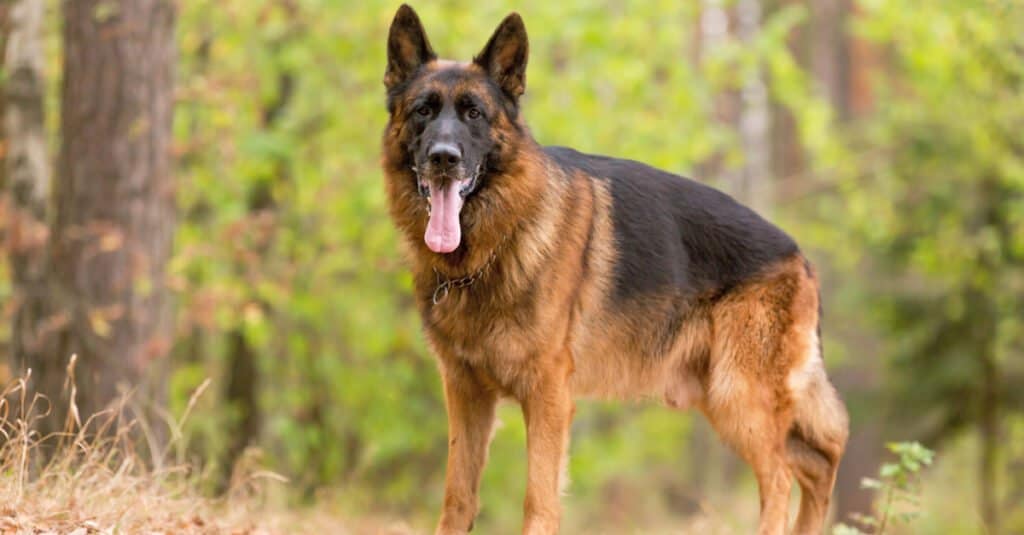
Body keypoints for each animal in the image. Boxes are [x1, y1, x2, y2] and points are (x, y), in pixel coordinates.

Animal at [385, 5, 847, 532]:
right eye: (423, 110)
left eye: (474, 113)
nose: (444, 158)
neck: (493, 248)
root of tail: (799, 255)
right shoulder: (465, 395)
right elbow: (458, 498)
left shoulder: (547, 395)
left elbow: (538, 499)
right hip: (728, 400)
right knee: (818, 460)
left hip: (739, 400)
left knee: (783, 476)